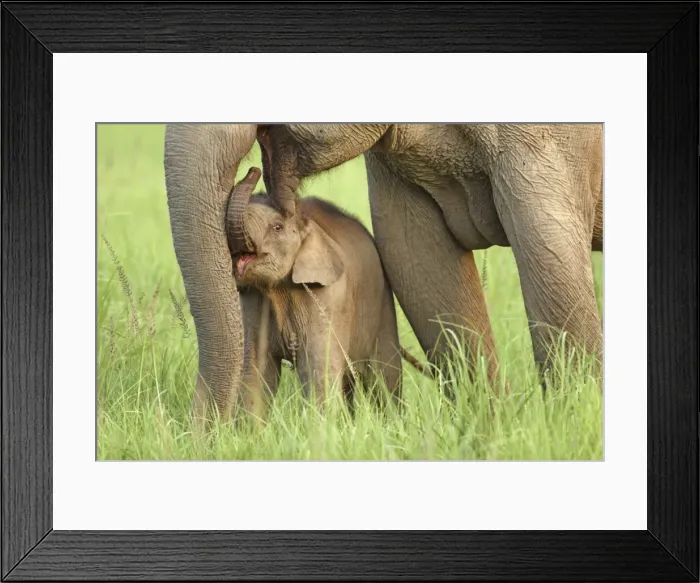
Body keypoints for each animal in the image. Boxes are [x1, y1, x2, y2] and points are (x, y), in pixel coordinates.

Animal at [225, 167, 429, 415]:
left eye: (277, 227)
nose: (253, 170)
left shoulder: (327, 298)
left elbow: (316, 369)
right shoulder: (253, 300)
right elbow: (256, 371)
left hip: (382, 304)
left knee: (383, 377)